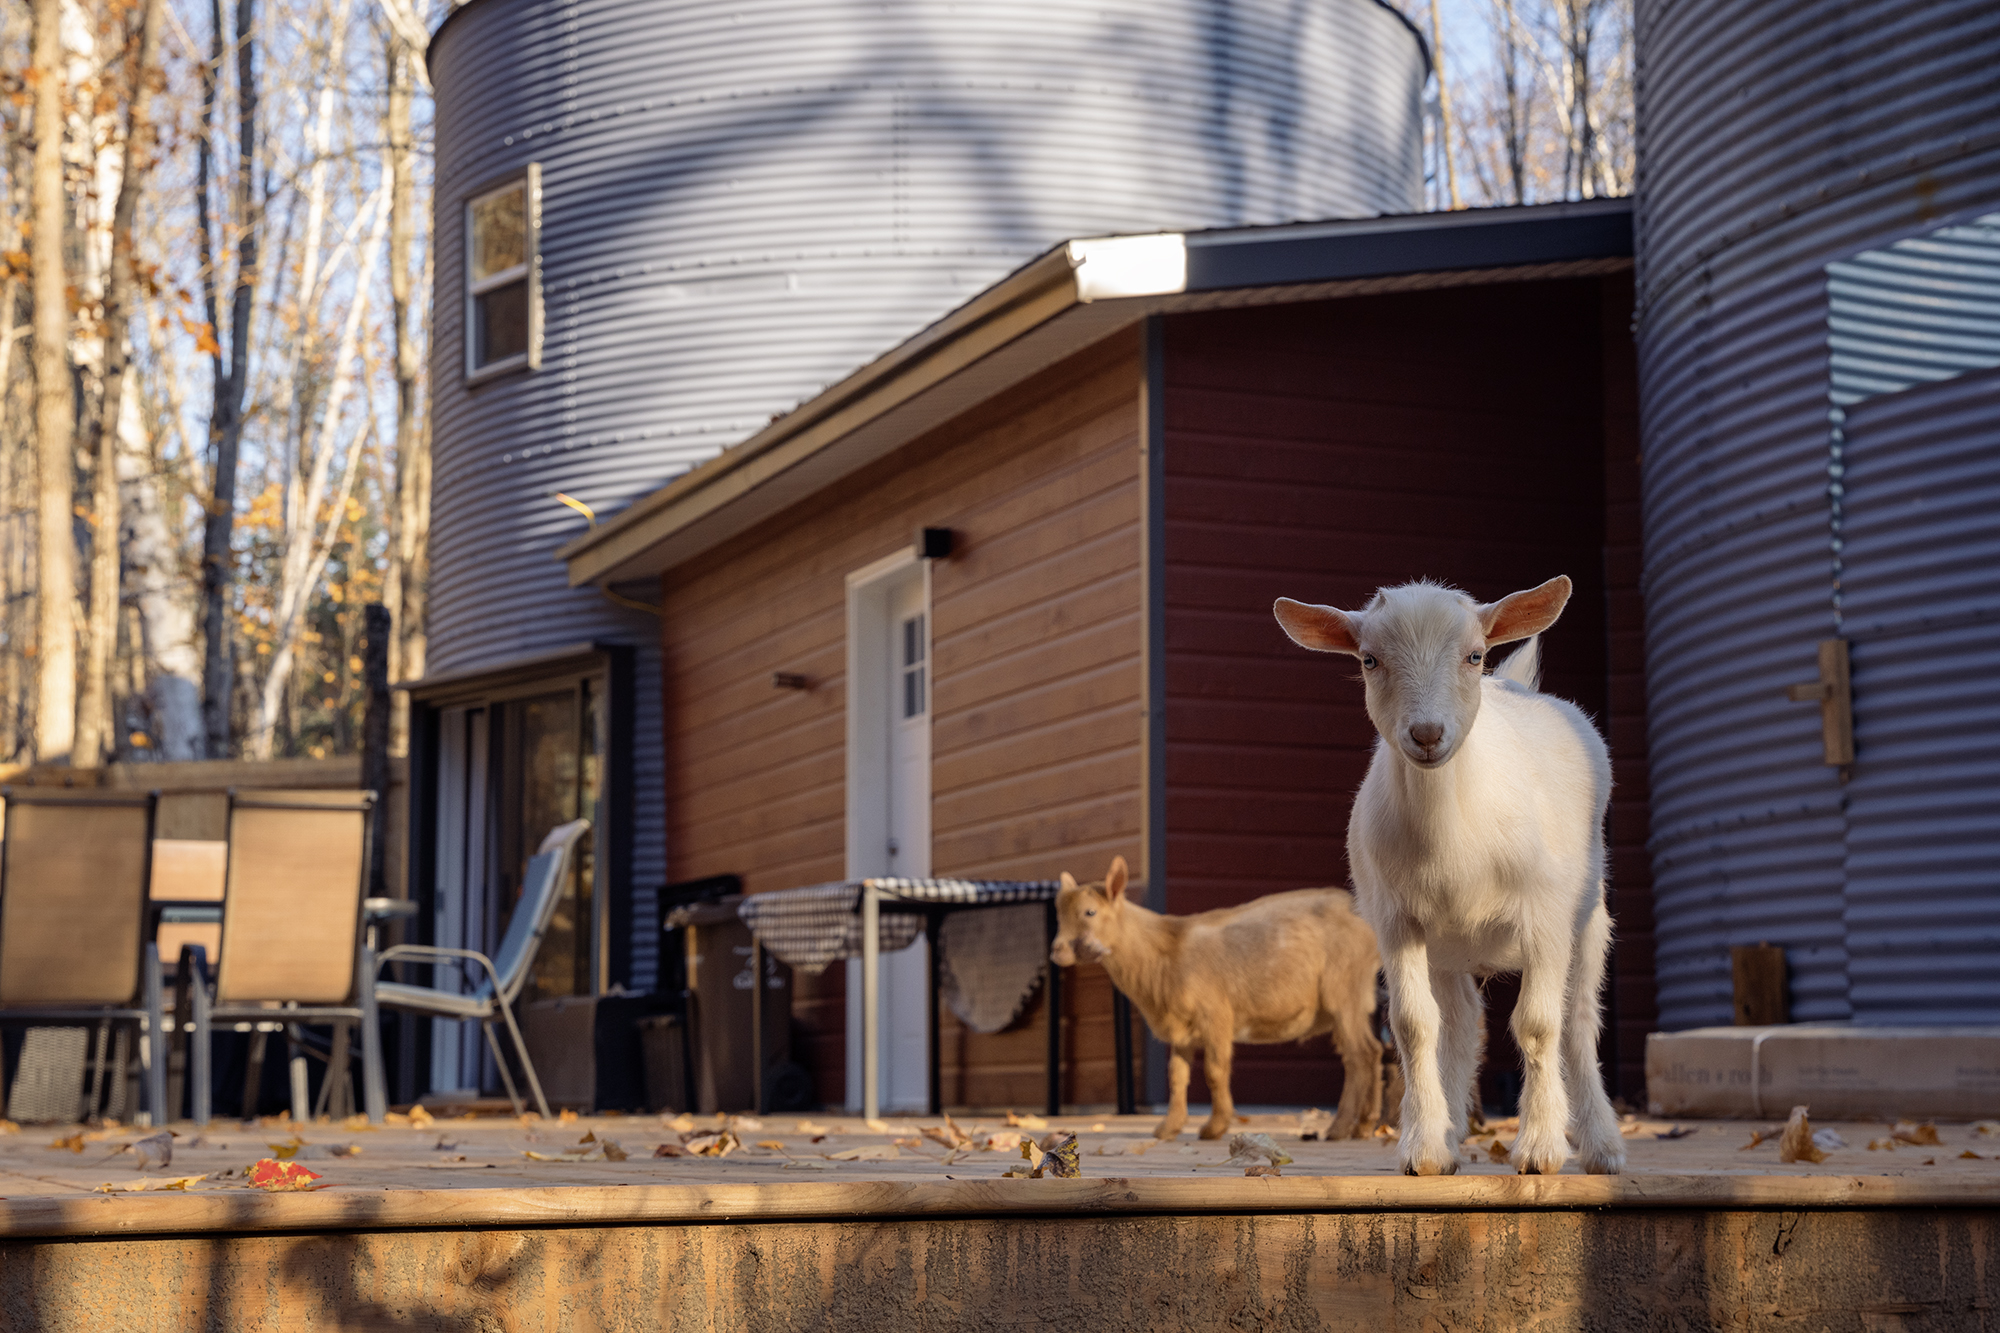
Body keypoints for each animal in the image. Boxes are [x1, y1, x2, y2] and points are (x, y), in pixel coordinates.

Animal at [1048, 856, 1392, 1136]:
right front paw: (1168, 1128)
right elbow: (1177, 1075)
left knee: (1360, 1054)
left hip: (1344, 989)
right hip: (1352, 998)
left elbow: (1215, 1070)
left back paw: (1341, 1128)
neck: (1165, 951)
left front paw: (1214, 1127)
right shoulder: (1181, 1027)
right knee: (1370, 1052)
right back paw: (1362, 1127)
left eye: (1090, 912)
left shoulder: (1215, 1014)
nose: (1057, 951)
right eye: (1059, 916)